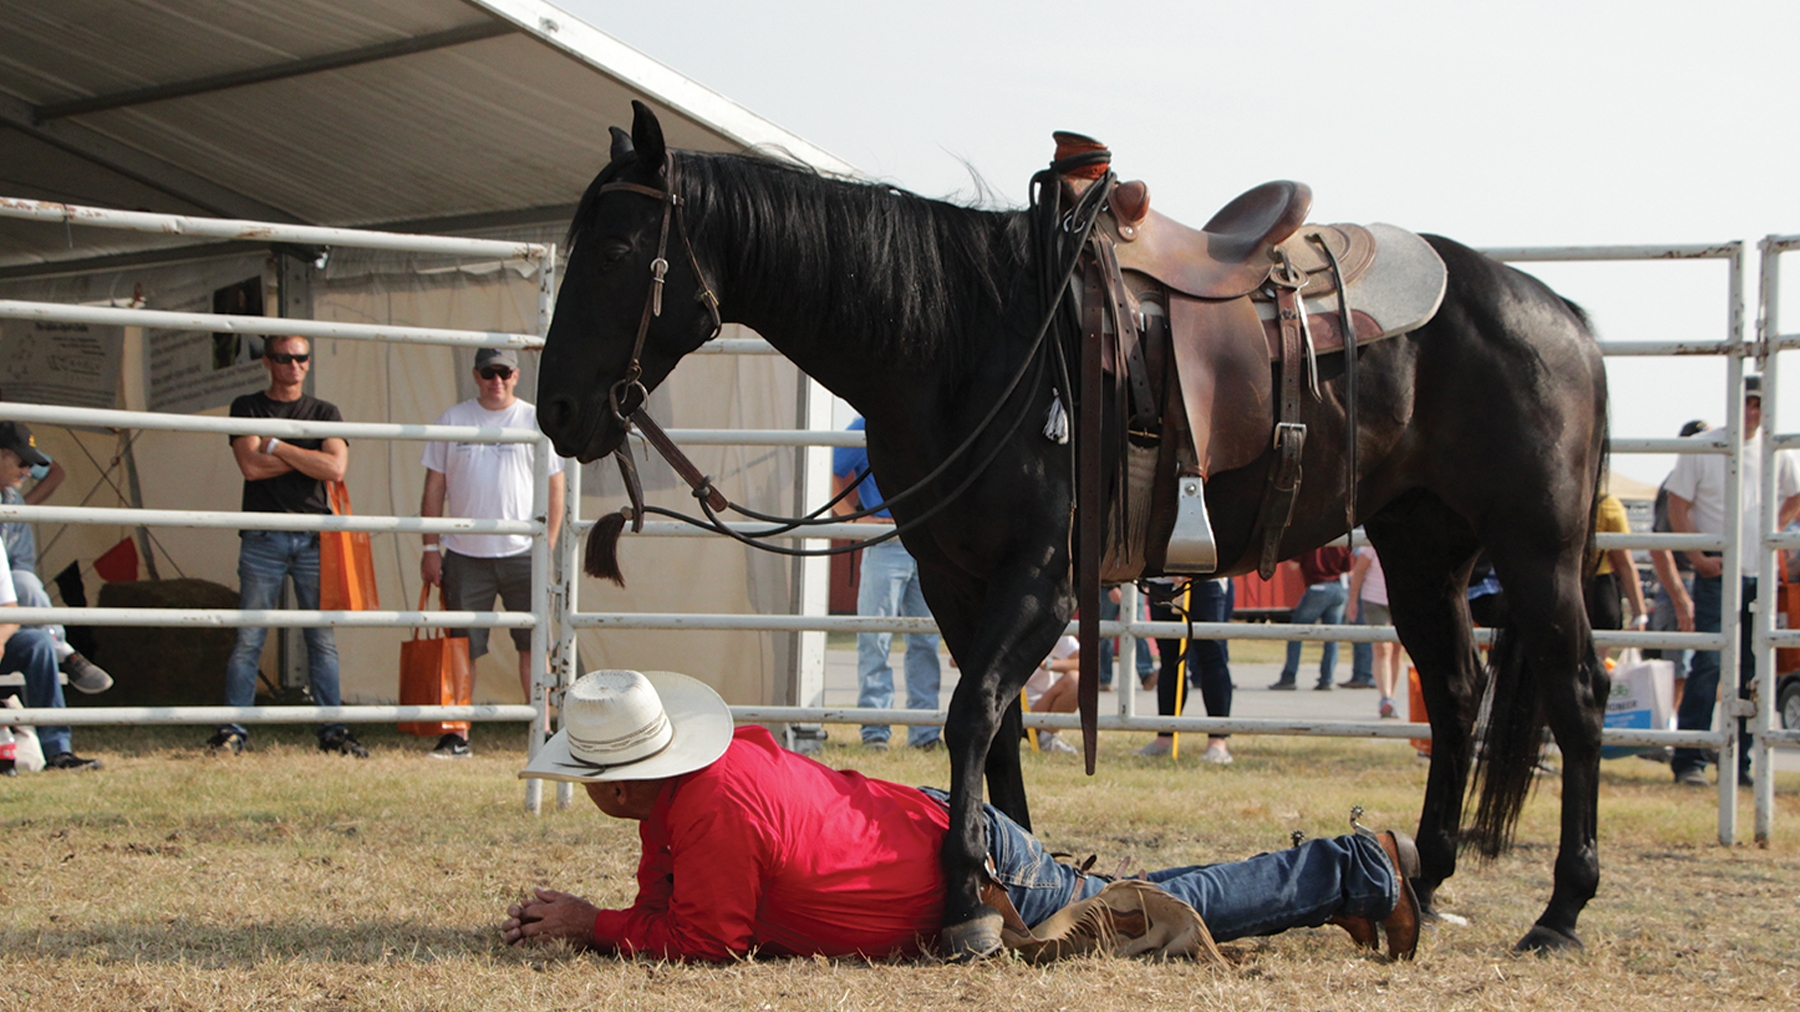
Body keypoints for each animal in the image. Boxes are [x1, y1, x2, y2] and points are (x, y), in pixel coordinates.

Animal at [537, 102, 1610, 958]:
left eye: (618, 252)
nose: (557, 411)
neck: (963, 340)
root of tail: (1557, 310)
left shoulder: (1045, 581)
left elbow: (970, 714)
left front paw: (969, 900)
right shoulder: (954, 578)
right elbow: (999, 727)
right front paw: (1014, 879)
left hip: (1538, 551)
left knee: (1578, 699)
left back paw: (1559, 913)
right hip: (1424, 548)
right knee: (1459, 692)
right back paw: (1420, 879)